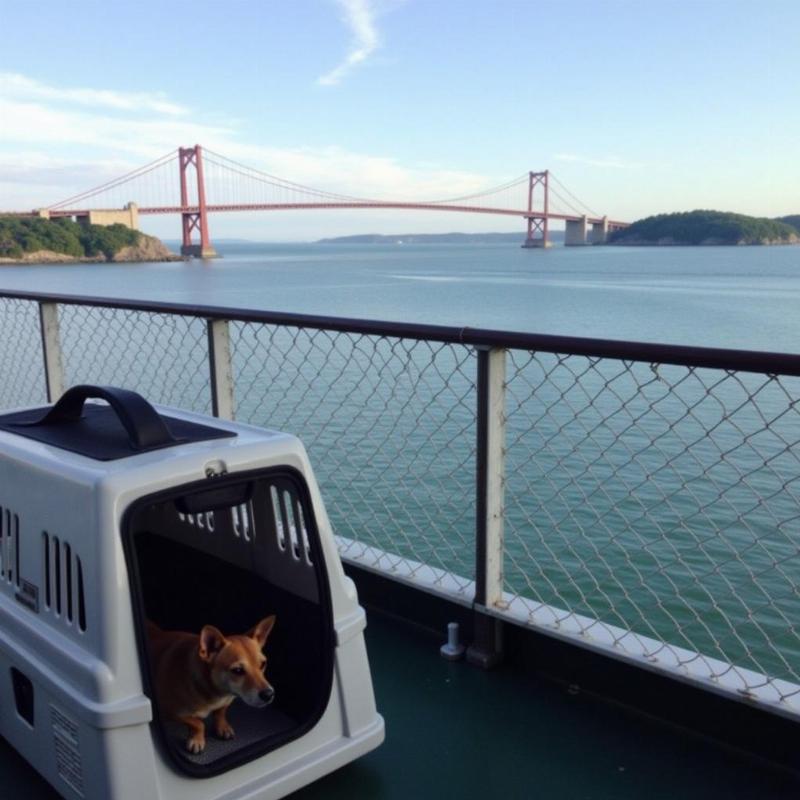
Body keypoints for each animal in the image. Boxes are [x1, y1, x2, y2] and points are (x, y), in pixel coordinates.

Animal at [148, 616, 278, 752]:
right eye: (237, 670)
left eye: (263, 664)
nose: (269, 694)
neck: (217, 691)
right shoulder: (170, 712)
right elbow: (197, 723)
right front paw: (197, 739)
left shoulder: (226, 701)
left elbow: (220, 713)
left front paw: (222, 727)